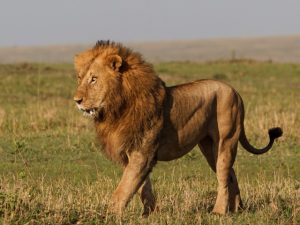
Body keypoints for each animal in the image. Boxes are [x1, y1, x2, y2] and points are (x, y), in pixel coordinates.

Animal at [72, 40, 282, 216]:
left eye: (94, 79)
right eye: (79, 78)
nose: (77, 100)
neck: (116, 108)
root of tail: (235, 91)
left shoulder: (142, 153)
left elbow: (123, 189)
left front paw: (108, 215)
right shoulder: (130, 154)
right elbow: (142, 186)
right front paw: (149, 213)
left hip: (226, 139)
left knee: (223, 176)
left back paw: (219, 212)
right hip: (209, 146)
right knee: (231, 175)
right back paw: (237, 208)